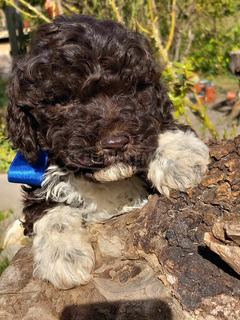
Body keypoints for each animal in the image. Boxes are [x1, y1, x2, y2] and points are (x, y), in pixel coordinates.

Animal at [5, 14, 208, 290]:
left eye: (133, 90)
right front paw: (63, 256)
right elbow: (48, 212)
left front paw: (178, 157)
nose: (116, 143)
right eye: (62, 101)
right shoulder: (37, 181)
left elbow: (158, 125)